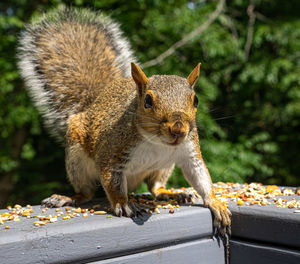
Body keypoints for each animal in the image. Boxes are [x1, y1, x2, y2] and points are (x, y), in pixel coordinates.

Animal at [17, 6, 231, 233]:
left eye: (195, 99)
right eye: (147, 101)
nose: (178, 130)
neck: (157, 143)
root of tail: (94, 102)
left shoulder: (189, 151)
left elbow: (200, 176)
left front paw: (215, 202)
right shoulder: (112, 152)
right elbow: (112, 181)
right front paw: (124, 204)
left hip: (163, 167)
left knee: (155, 187)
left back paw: (171, 193)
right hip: (76, 159)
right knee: (87, 192)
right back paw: (69, 197)